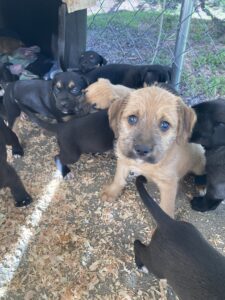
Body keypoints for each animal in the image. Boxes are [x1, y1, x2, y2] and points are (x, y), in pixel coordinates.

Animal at [103, 85, 205, 217]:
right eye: (132, 118)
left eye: (165, 125)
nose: (142, 150)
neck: (145, 165)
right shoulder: (124, 160)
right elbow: (118, 178)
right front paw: (112, 192)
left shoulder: (169, 185)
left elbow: (166, 209)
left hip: (199, 162)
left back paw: (202, 186)